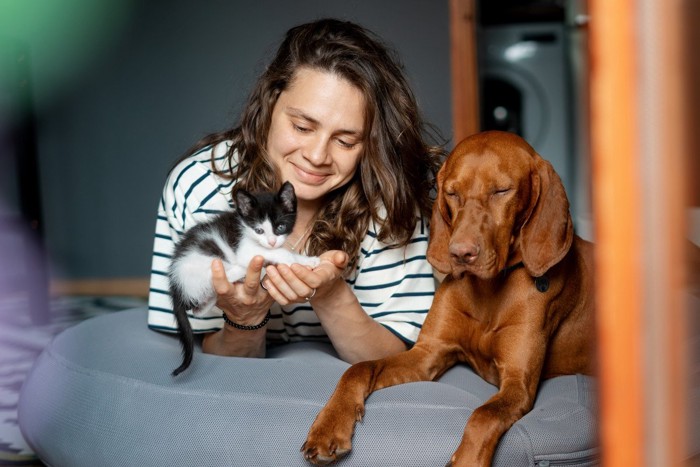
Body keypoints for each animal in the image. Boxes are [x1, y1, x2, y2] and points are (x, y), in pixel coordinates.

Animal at [168, 182, 322, 376]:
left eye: (280, 227)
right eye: (259, 230)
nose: (271, 242)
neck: (246, 228)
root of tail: (175, 281)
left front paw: (307, 260)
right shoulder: (245, 249)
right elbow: (279, 252)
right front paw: (291, 259)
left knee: (198, 309)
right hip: (205, 260)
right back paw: (241, 271)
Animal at [300, 132, 596, 467]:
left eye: (502, 191)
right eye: (452, 193)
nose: (460, 253)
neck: (490, 290)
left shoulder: (519, 384)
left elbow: (484, 414)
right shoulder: (427, 354)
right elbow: (359, 368)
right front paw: (329, 425)